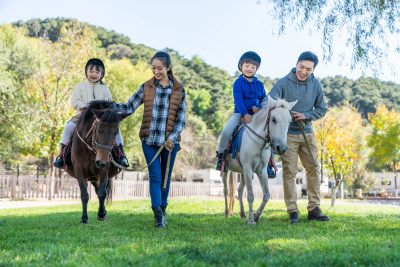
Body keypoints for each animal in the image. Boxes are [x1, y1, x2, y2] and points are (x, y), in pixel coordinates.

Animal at [222, 95, 296, 225]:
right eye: (273, 119)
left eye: (289, 121)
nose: (282, 148)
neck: (258, 142)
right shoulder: (248, 169)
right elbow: (251, 196)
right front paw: (251, 220)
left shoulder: (261, 171)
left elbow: (266, 195)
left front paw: (256, 216)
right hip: (227, 170)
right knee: (226, 190)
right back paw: (226, 213)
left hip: (243, 173)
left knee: (239, 191)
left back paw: (243, 214)